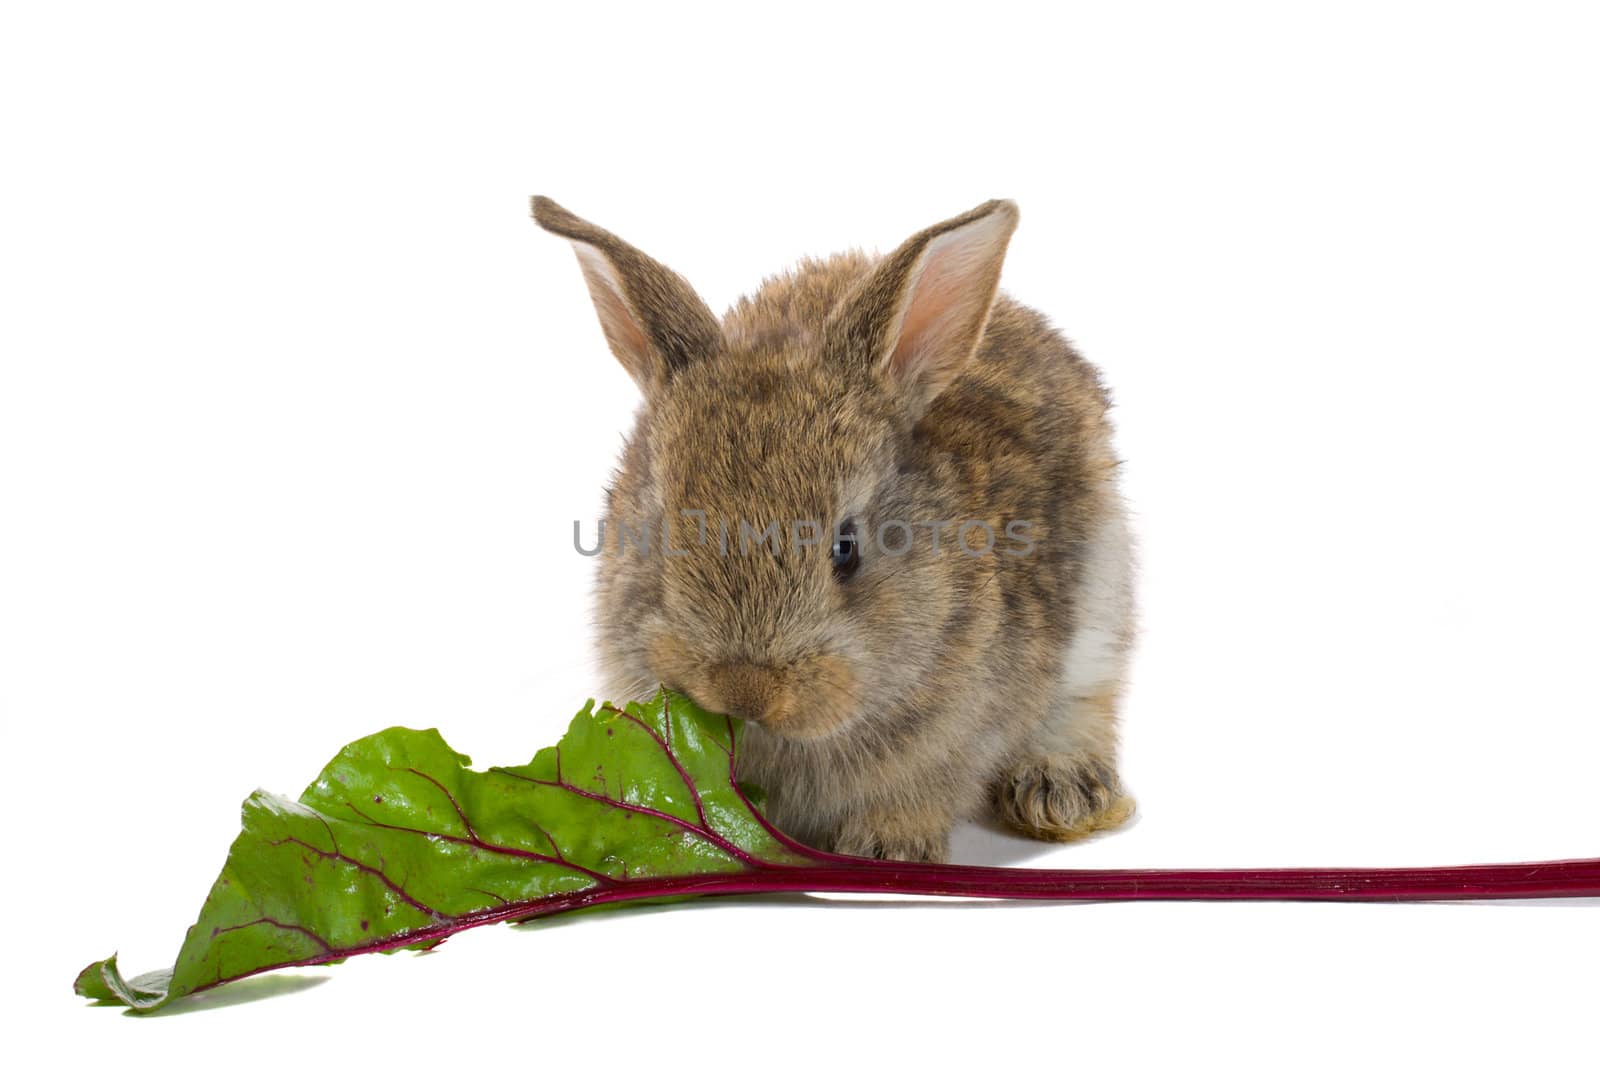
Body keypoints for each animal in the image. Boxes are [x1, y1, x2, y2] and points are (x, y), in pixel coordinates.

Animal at [537, 198, 1139, 870]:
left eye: (845, 550)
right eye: (662, 533)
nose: (746, 691)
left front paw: (886, 847)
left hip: (1104, 595)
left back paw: (1062, 793)